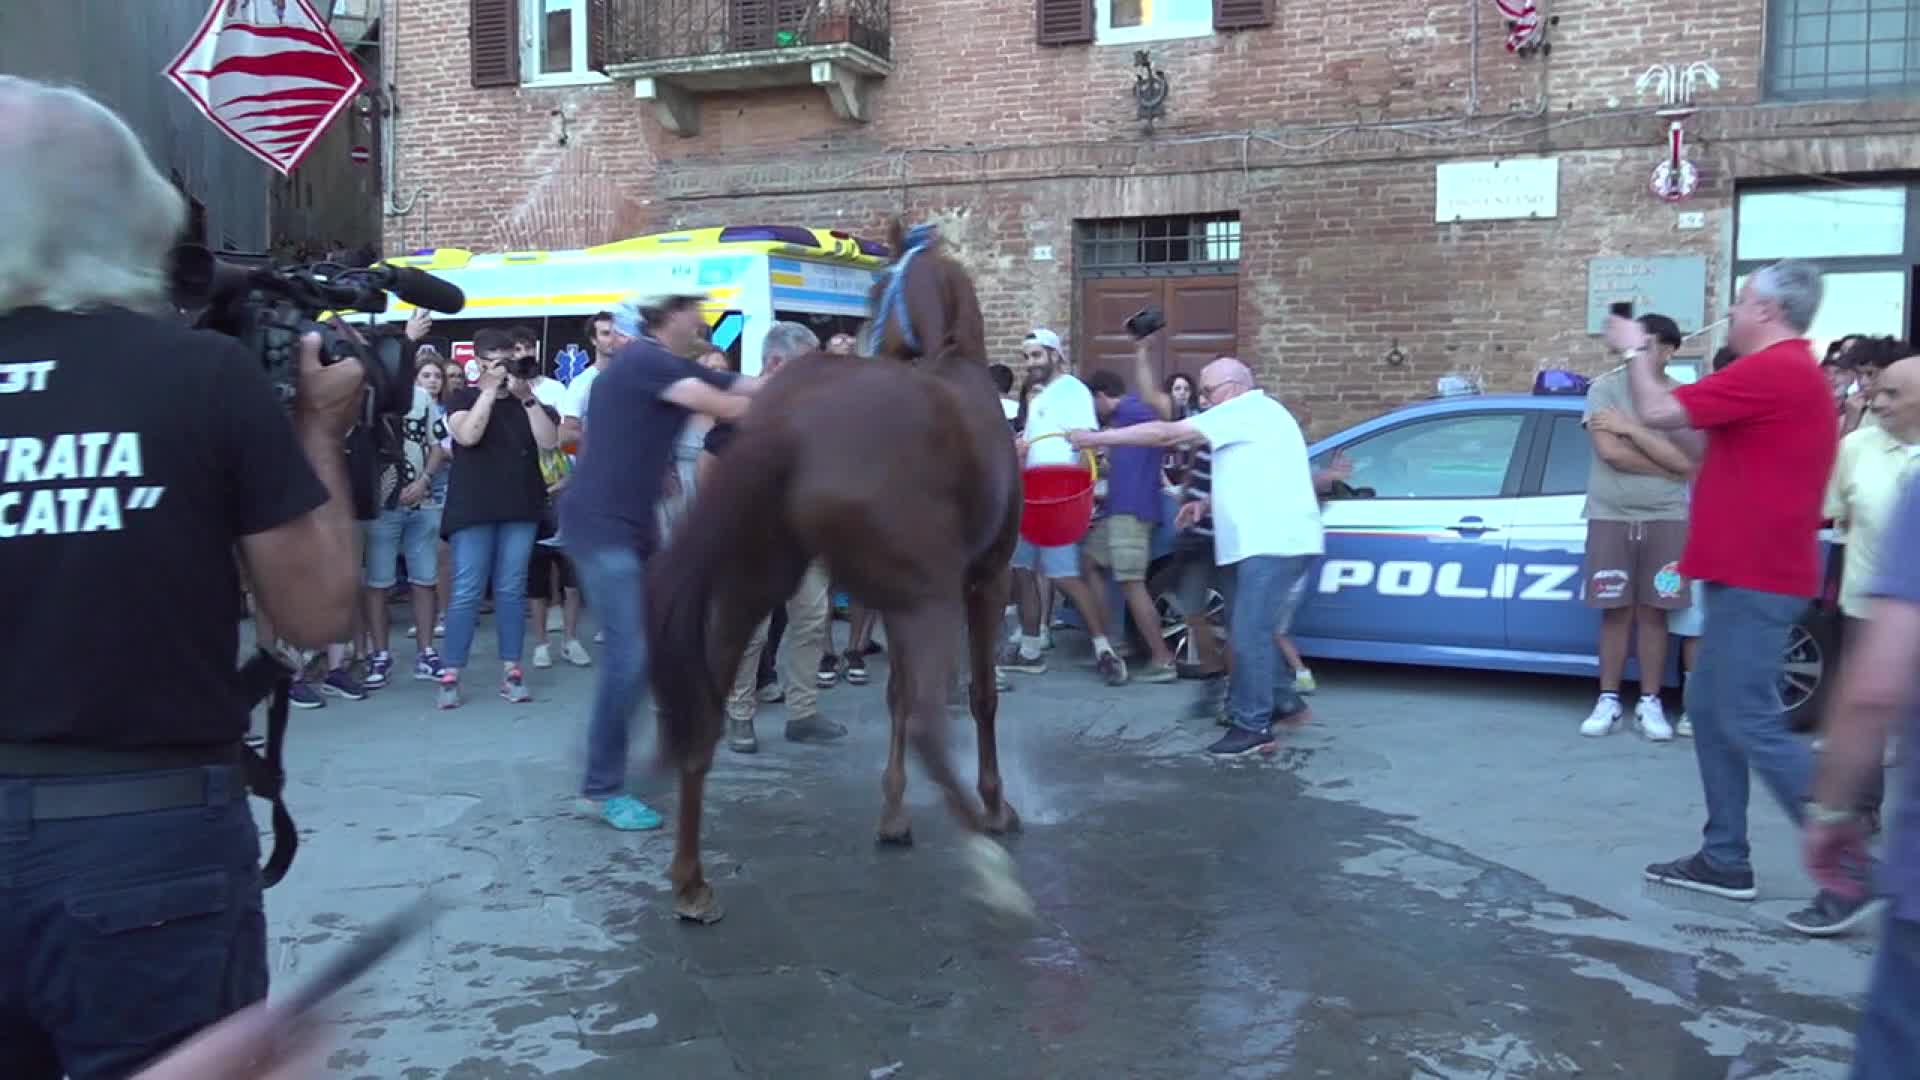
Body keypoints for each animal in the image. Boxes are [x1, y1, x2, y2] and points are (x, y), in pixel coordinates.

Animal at [645, 220, 1036, 926]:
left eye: (875, 291)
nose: (865, 340)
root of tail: (790, 421)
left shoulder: (890, 601)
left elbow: (895, 696)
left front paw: (893, 813)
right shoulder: (982, 583)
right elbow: (977, 697)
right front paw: (994, 805)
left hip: (750, 585)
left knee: (707, 714)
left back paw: (691, 881)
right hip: (929, 597)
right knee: (931, 726)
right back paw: (989, 860)